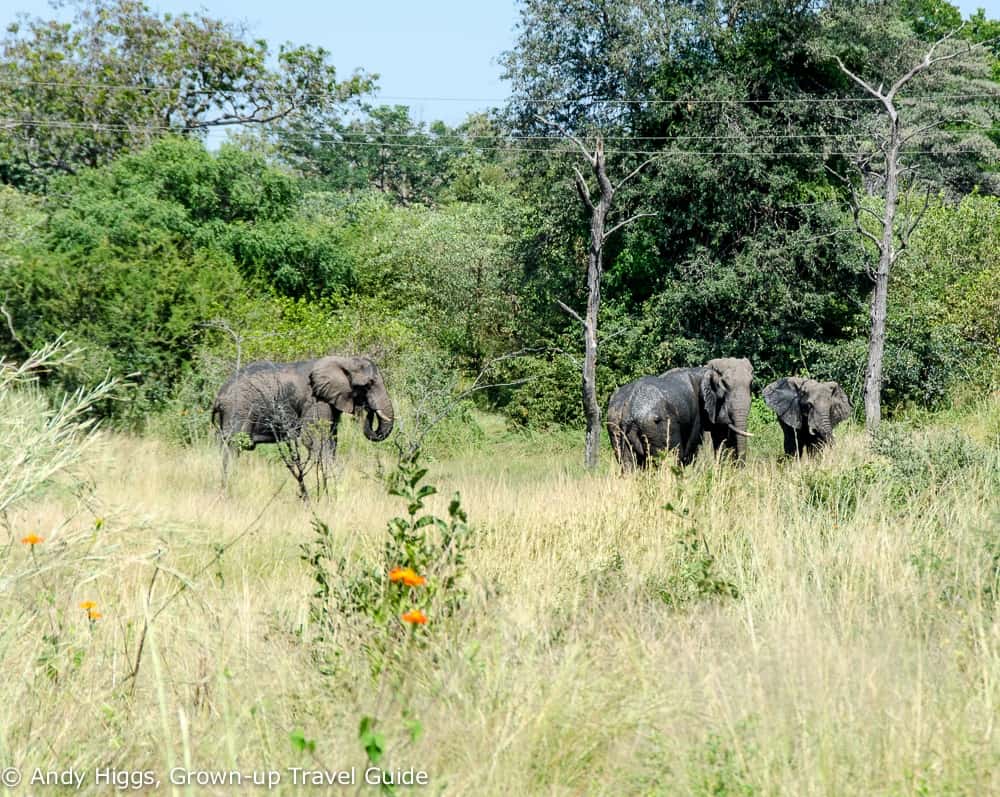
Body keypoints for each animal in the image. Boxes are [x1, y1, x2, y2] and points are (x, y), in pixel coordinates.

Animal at [211, 355, 394, 478]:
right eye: (368, 385)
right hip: (238, 409)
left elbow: (331, 438)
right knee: (233, 445)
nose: (369, 410)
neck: (345, 360)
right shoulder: (315, 400)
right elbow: (314, 438)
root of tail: (218, 396)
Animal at [606, 357, 754, 470]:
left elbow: (720, 439)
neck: (703, 370)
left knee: (628, 465)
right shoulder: (698, 412)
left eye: (751, 384)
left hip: (615, 426)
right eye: (724, 387)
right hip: (658, 426)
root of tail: (628, 411)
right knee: (669, 459)